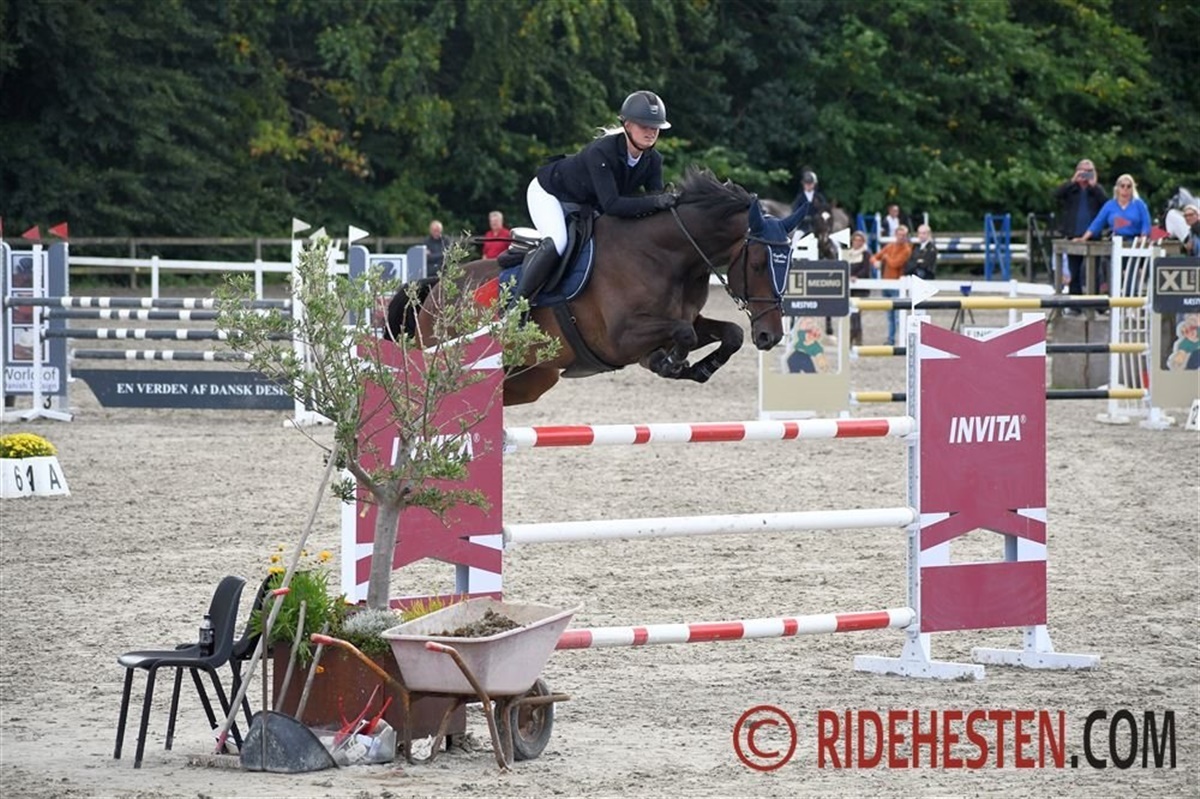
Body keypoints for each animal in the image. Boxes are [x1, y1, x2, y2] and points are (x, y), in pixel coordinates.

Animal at [388, 168, 805, 406]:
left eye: (790, 265)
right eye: (756, 264)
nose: (769, 336)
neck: (667, 255)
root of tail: (435, 288)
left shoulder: (688, 318)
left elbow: (730, 333)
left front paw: (697, 368)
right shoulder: (621, 337)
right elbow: (682, 335)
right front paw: (669, 361)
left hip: (531, 377)